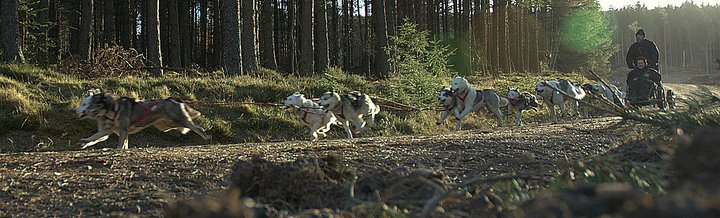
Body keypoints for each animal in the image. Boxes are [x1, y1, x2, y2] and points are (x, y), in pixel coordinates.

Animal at [75, 89, 211, 149]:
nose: (75, 110)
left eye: (85, 104)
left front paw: (118, 150)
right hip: (167, 126)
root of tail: (172, 99)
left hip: (180, 120)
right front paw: (84, 142)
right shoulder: (107, 131)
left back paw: (206, 137)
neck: (110, 109)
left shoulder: (123, 130)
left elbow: (120, 144)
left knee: (197, 128)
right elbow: (95, 137)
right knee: (186, 128)